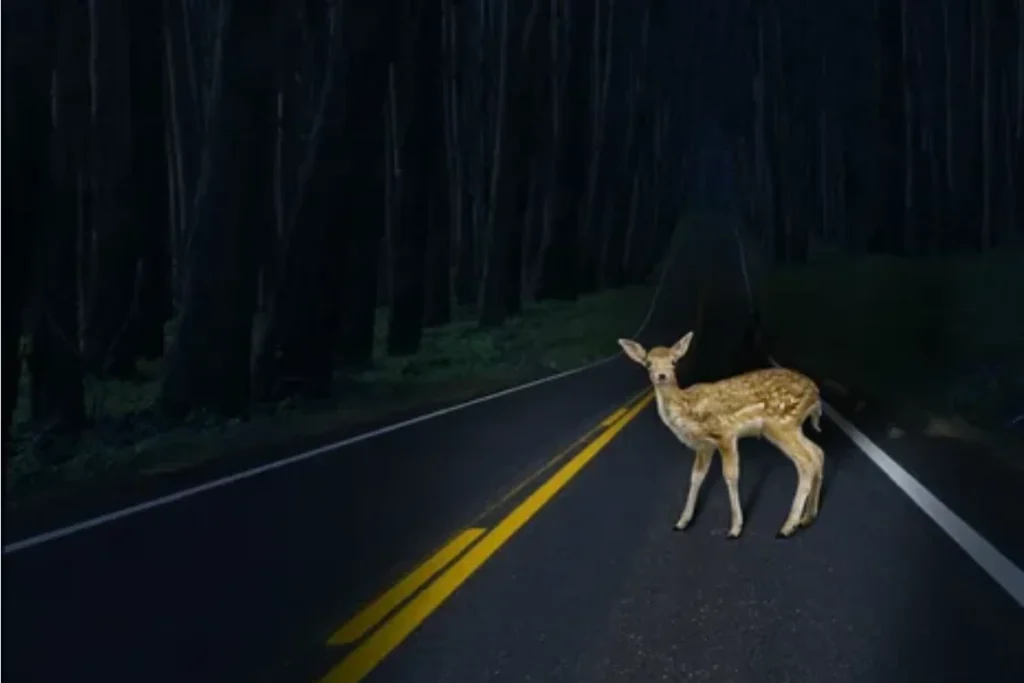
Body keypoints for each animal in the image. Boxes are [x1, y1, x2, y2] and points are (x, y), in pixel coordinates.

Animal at [618, 331, 825, 539]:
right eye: (648, 363)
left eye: (674, 361)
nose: (662, 375)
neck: (687, 408)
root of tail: (816, 395)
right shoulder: (704, 445)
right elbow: (696, 476)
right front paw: (682, 522)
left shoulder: (725, 434)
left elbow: (730, 476)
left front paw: (735, 528)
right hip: (791, 427)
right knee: (817, 453)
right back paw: (808, 517)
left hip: (781, 424)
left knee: (805, 462)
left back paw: (787, 527)